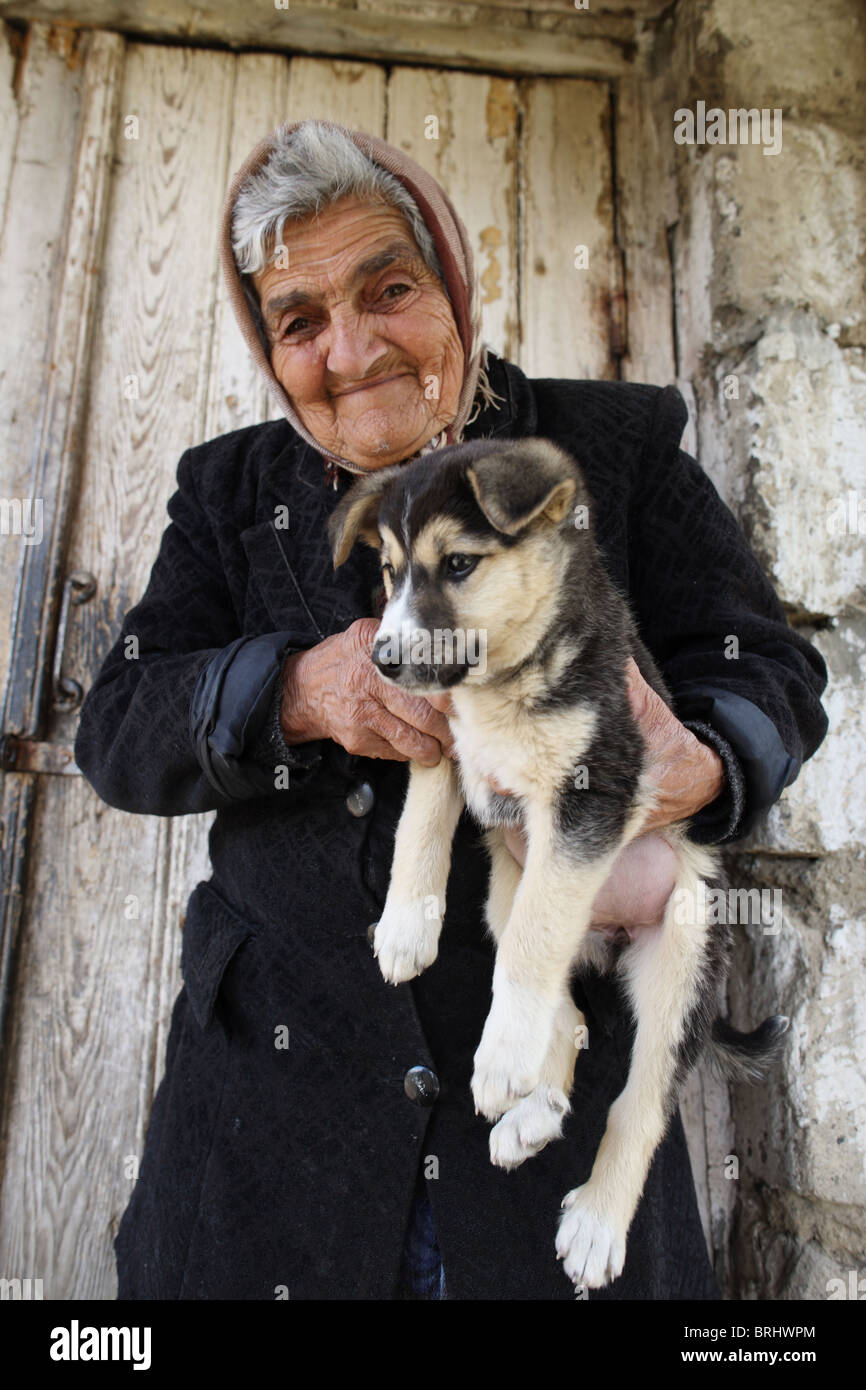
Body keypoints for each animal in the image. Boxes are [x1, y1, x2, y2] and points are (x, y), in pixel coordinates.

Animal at [328, 436, 789, 1289]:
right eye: (390, 571)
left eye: (459, 565)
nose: (383, 661)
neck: (506, 679)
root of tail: (607, 938)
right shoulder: (447, 744)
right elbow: (421, 824)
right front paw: (407, 926)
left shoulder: (590, 797)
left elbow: (534, 949)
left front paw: (500, 1052)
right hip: (504, 892)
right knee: (567, 1016)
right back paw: (532, 1115)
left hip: (683, 947)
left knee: (639, 1099)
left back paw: (596, 1219)